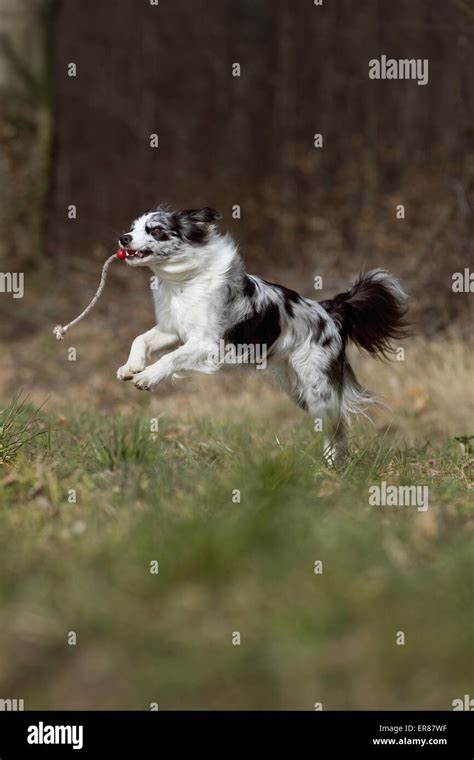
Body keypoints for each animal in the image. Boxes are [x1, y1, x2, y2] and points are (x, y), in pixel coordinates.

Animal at [115, 205, 408, 464]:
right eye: (132, 227)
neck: (185, 280)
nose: (123, 237)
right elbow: (140, 339)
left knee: (335, 425)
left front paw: (147, 377)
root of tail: (328, 311)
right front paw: (131, 367)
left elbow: (170, 358)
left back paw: (331, 467)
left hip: (317, 385)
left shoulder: (206, 343)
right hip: (296, 388)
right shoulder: (173, 330)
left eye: (156, 230)